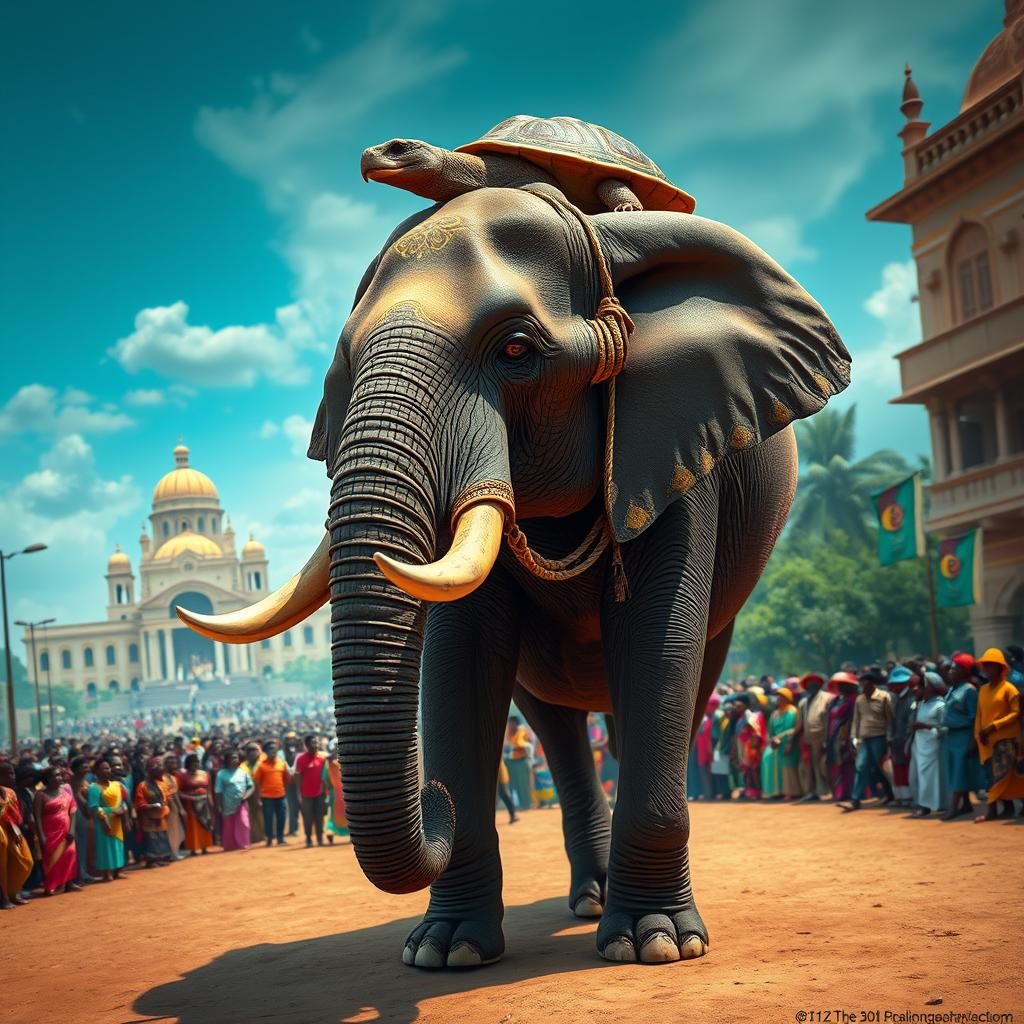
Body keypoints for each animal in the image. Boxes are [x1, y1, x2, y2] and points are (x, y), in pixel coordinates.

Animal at [179, 183, 850, 968]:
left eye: (517, 351)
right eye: (340, 372)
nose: (434, 796)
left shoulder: (676, 441)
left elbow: (657, 644)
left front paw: (655, 945)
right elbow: (461, 656)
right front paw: (446, 953)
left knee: (676, 690)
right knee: (557, 725)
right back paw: (587, 896)